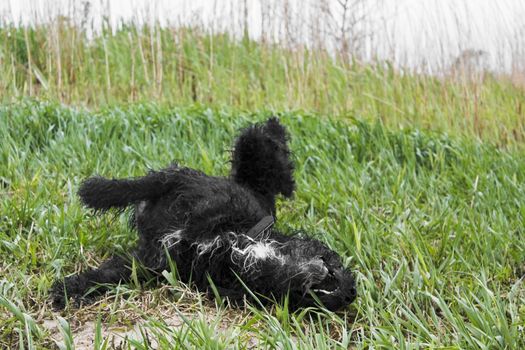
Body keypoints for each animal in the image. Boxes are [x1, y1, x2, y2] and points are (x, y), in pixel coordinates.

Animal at [52, 118, 356, 312]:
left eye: (315, 301)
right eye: (336, 265)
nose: (350, 293)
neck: (241, 247)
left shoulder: (154, 261)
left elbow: (111, 273)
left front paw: (69, 289)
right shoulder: (180, 181)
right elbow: (134, 187)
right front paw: (93, 191)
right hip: (253, 164)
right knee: (261, 140)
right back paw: (274, 129)